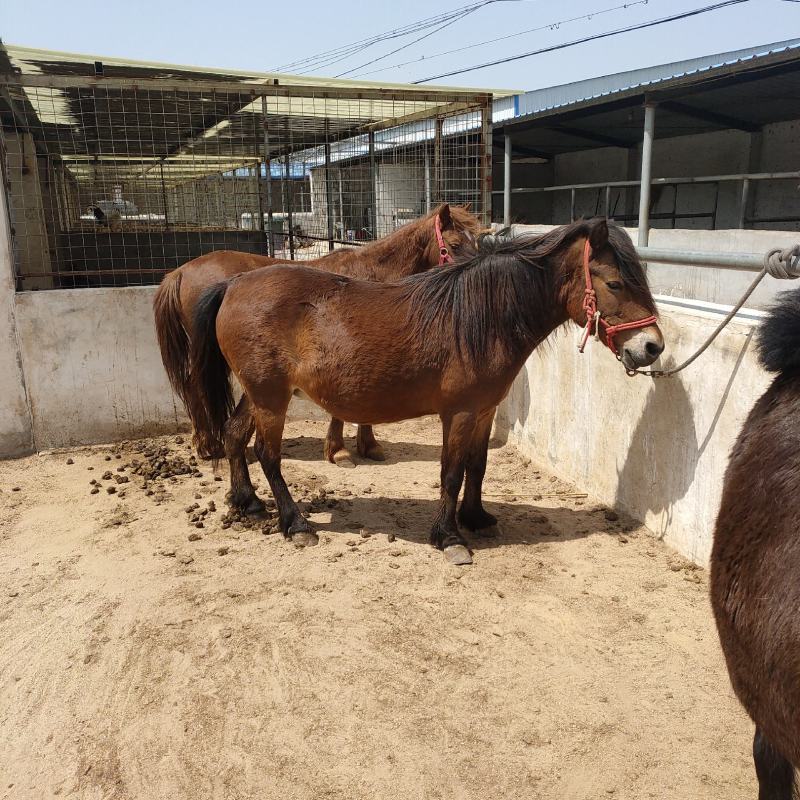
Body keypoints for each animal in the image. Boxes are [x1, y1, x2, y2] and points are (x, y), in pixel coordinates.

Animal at [153, 203, 482, 511]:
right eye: (454, 244)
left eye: (476, 242)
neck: (372, 273)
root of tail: (180, 272)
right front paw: (339, 450)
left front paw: (367, 445)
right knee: (196, 390)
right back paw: (208, 445)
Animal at [187, 218, 664, 564]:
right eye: (615, 283)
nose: (652, 346)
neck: (481, 317)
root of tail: (232, 285)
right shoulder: (459, 413)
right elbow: (451, 472)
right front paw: (449, 537)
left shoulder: (484, 412)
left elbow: (477, 466)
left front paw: (476, 517)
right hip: (271, 399)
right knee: (267, 455)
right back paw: (296, 524)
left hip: (258, 394)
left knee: (234, 436)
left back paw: (248, 503)